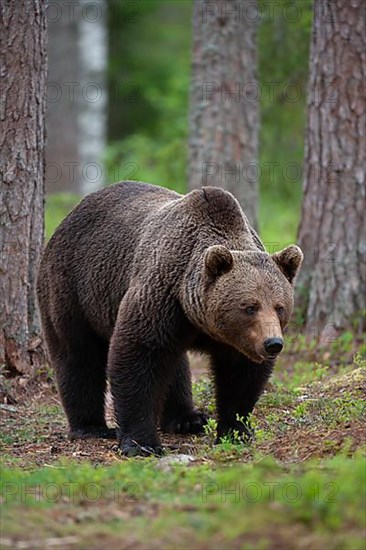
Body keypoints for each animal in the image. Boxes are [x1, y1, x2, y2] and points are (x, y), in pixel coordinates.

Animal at [36, 181, 304, 458]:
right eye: (250, 306)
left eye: (280, 307)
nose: (273, 344)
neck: (198, 317)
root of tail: (71, 214)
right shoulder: (161, 296)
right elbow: (138, 356)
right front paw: (141, 443)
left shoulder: (233, 339)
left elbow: (241, 375)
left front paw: (235, 431)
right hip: (73, 286)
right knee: (78, 354)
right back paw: (90, 427)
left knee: (175, 365)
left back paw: (188, 419)